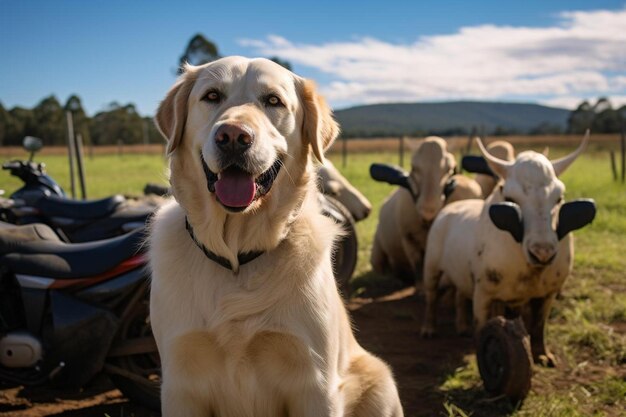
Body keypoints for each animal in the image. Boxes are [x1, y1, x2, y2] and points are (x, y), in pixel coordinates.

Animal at [147, 56, 400, 416]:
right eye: (212, 96)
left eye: (273, 101)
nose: (233, 135)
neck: (237, 258)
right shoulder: (181, 385)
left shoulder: (316, 385)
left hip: (380, 382)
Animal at [420, 132, 588, 366]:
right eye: (509, 198)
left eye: (559, 198)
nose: (543, 253)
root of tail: (449, 209)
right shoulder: (484, 292)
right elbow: (481, 327)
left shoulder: (548, 293)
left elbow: (539, 325)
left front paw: (542, 354)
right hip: (432, 265)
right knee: (432, 295)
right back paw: (429, 328)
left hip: (461, 273)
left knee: (460, 294)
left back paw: (462, 326)